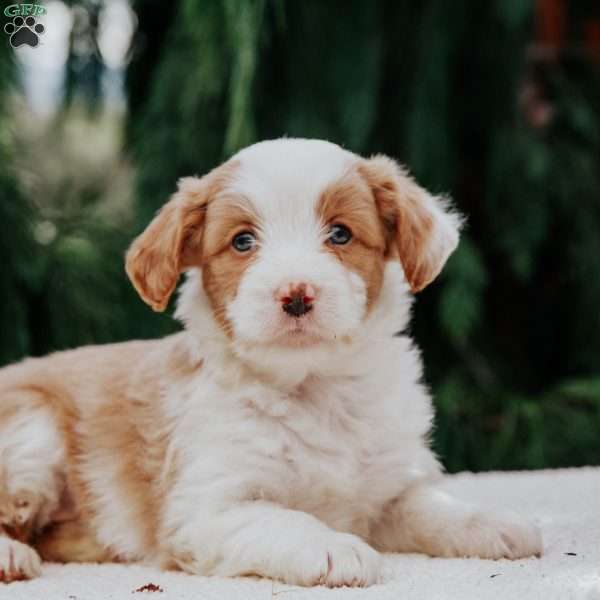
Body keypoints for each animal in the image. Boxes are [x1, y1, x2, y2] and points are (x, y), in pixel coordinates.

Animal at [0, 138, 544, 584]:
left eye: (341, 234)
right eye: (242, 241)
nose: (296, 295)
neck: (315, 388)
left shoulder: (389, 488)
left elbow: (431, 504)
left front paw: (492, 521)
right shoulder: (208, 508)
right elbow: (281, 518)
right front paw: (334, 547)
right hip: (33, 431)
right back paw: (12, 555)